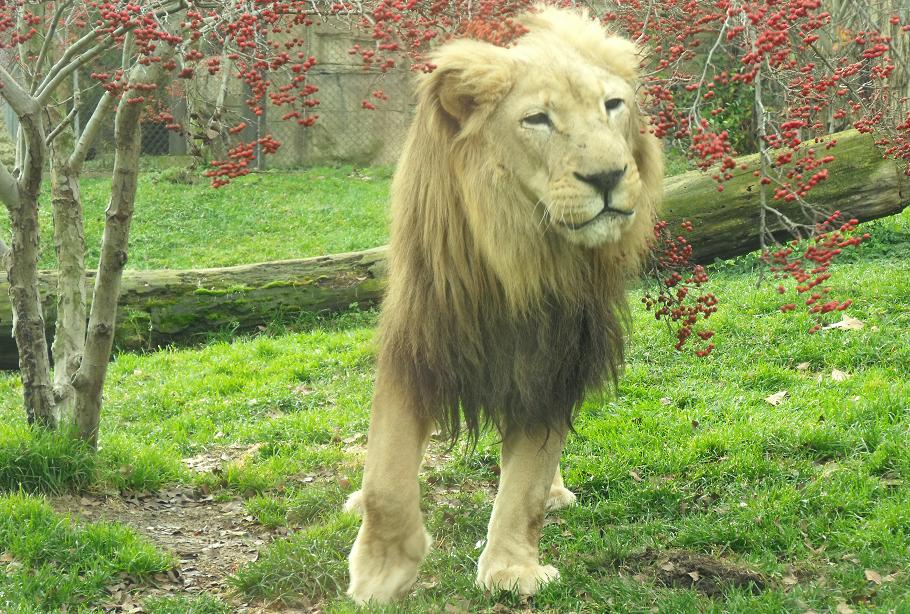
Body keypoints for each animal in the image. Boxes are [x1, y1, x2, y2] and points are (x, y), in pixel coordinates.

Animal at [345, 6, 663, 604]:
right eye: (536, 119)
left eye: (613, 105)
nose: (608, 177)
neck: (519, 258)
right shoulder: (417, 346)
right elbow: (387, 476)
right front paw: (381, 574)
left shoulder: (555, 360)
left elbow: (526, 485)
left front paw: (512, 569)